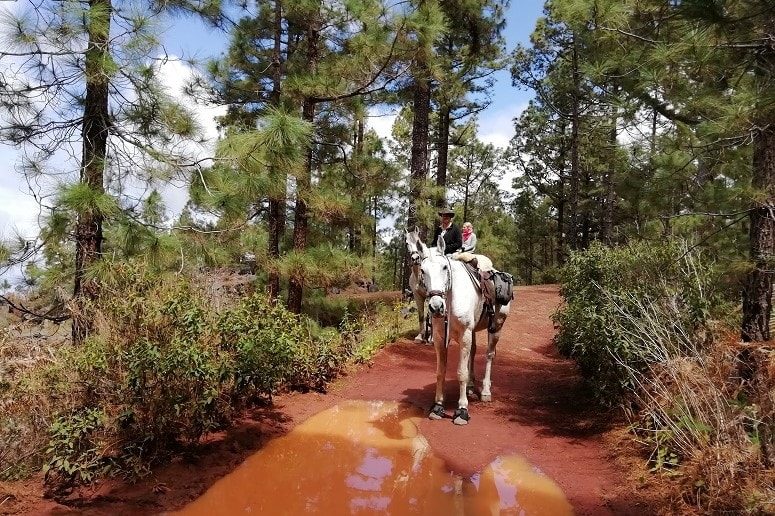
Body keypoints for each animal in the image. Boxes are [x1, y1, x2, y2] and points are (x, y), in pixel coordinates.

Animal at [418, 236, 510, 426]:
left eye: (445, 267)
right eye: (422, 270)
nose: (436, 307)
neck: (451, 299)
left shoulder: (465, 334)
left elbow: (461, 373)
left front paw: (462, 410)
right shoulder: (440, 337)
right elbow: (440, 371)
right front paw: (438, 406)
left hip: (496, 327)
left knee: (489, 355)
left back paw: (485, 391)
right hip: (473, 331)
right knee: (473, 353)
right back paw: (471, 386)